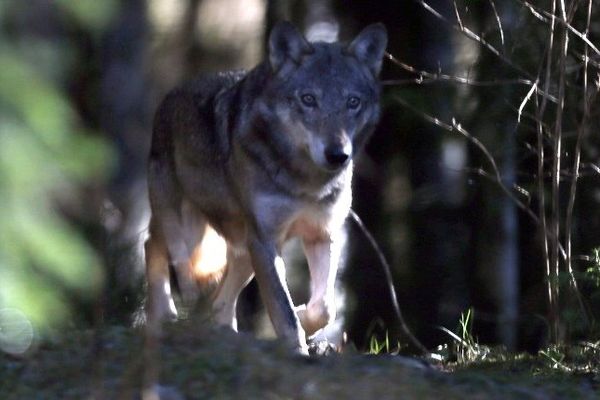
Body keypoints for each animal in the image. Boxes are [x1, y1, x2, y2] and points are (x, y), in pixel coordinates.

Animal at [145, 21, 390, 354]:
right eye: (308, 99)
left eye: (353, 102)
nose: (337, 155)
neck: (305, 182)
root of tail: (168, 96)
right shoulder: (266, 240)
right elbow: (281, 307)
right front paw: (296, 346)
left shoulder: (321, 234)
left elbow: (325, 307)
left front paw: (305, 319)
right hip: (189, 233)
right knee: (155, 248)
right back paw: (164, 315)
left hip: (242, 247)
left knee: (220, 299)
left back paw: (225, 333)